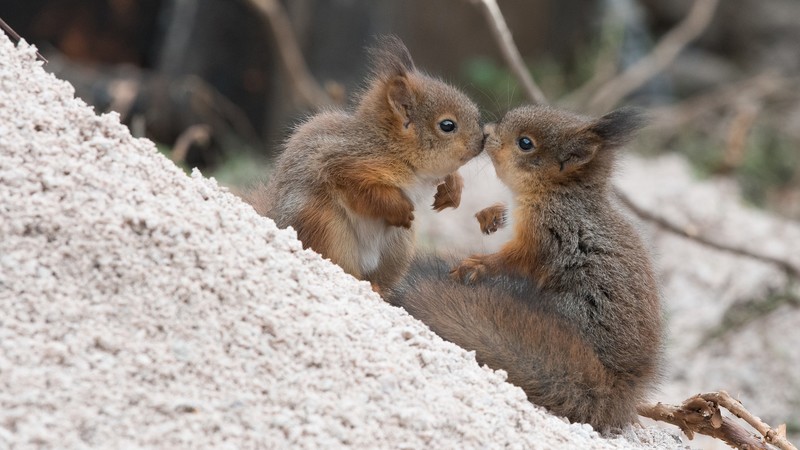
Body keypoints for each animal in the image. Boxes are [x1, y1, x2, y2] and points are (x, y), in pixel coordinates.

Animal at [241, 36, 483, 291]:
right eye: (447, 125)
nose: (483, 140)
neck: (388, 146)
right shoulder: (342, 164)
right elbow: (367, 193)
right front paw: (399, 208)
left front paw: (453, 190)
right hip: (327, 228)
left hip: (398, 246)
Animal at [387, 105, 663, 431]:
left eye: (525, 143)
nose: (487, 132)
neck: (558, 193)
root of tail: (619, 388)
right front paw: (493, 214)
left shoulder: (548, 234)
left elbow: (515, 260)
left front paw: (478, 264)